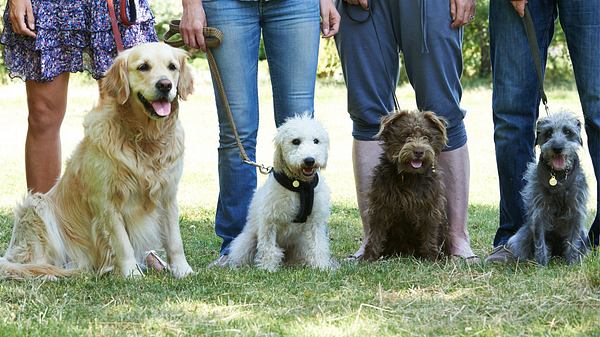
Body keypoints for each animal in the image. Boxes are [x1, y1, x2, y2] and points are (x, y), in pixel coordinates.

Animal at [227, 115, 336, 270]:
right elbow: (268, 247)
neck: (299, 186)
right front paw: (267, 268)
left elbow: (318, 245)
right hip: (246, 241)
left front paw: (321, 266)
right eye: (295, 141)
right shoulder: (269, 220)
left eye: (316, 141)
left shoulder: (315, 221)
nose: (309, 160)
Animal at [358, 109, 452, 260]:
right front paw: (369, 258)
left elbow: (430, 232)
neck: (410, 176)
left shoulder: (431, 207)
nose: (419, 151)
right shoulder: (380, 205)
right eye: (406, 135)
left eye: (427, 137)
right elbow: (375, 233)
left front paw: (431, 258)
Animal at [506, 111, 592, 264]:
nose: (557, 148)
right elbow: (540, 240)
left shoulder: (576, 210)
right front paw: (541, 263)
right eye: (549, 132)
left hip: (584, 234)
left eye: (568, 131)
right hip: (521, 237)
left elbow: (573, 239)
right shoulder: (539, 211)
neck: (559, 177)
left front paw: (572, 262)